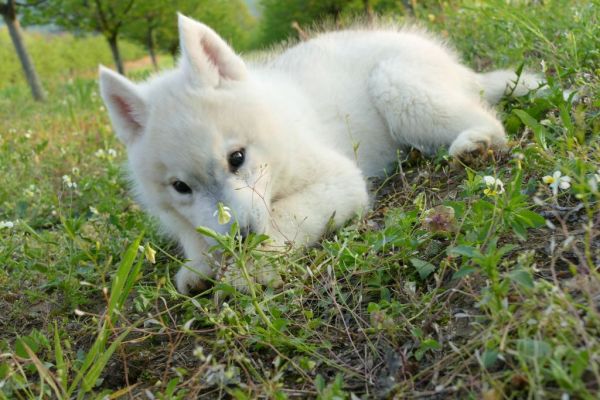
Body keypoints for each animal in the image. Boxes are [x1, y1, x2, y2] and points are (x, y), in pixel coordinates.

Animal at [98, 14, 540, 294]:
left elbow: (284, 216)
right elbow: (197, 236)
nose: (240, 240)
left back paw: (474, 144)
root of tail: (460, 69)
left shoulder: (340, 180)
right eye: (180, 187)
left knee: (487, 119)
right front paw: (201, 266)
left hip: (396, 86)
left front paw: (249, 270)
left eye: (236, 158)